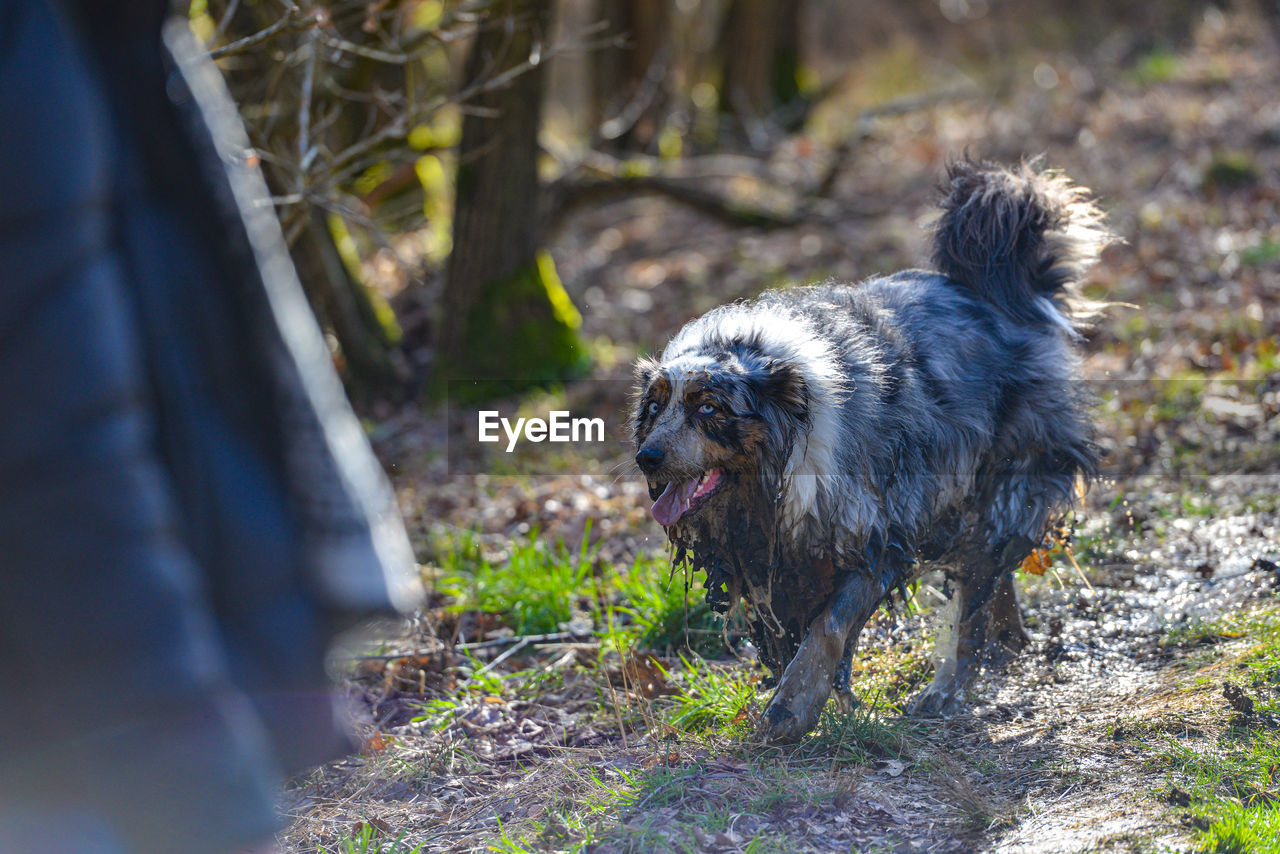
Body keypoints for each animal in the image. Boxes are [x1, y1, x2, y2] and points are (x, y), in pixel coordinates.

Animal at [629, 158, 1111, 742]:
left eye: (707, 408)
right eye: (655, 407)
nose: (647, 458)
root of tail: (997, 289)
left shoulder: (879, 538)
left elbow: (827, 629)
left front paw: (793, 709)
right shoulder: (773, 566)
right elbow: (788, 638)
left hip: (1007, 480)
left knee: (975, 595)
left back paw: (948, 688)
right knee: (988, 581)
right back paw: (1007, 645)